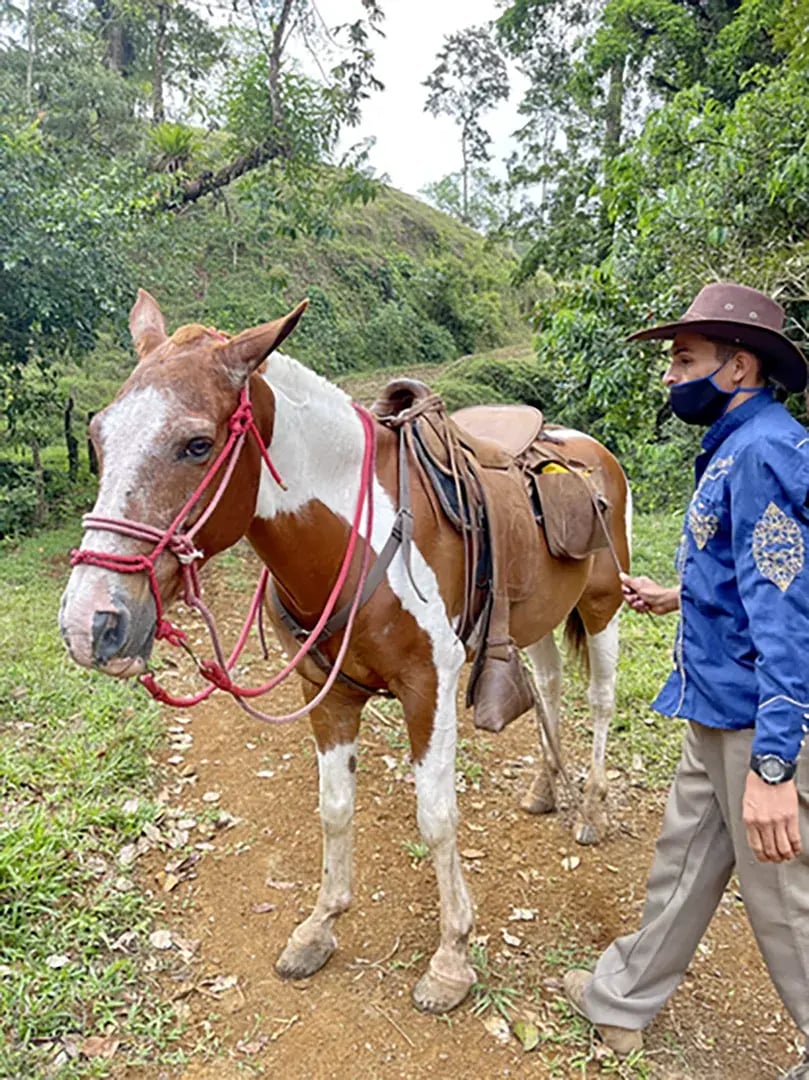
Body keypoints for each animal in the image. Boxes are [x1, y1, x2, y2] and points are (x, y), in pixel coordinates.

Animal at [61, 291, 630, 1015]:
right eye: (97, 437)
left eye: (197, 444)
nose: (90, 622)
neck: (357, 540)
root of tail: (584, 446)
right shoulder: (323, 690)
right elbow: (333, 810)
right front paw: (319, 926)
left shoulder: (430, 686)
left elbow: (436, 818)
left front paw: (451, 956)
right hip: (537, 619)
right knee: (550, 685)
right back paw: (545, 787)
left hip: (604, 604)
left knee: (600, 700)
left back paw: (591, 807)